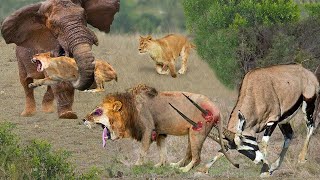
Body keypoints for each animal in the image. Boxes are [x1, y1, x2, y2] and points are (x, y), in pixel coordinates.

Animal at [84, 84, 221, 172]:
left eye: (97, 112)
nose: (83, 119)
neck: (129, 110)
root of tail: (217, 109)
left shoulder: (148, 130)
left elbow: (142, 150)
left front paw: (137, 165)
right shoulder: (160, 133)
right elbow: (162, 151)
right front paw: (160, 165)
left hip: (197, 132)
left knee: (197, 158)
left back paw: (184, 170)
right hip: (191, 133)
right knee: (189, 154)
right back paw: (176, 165)